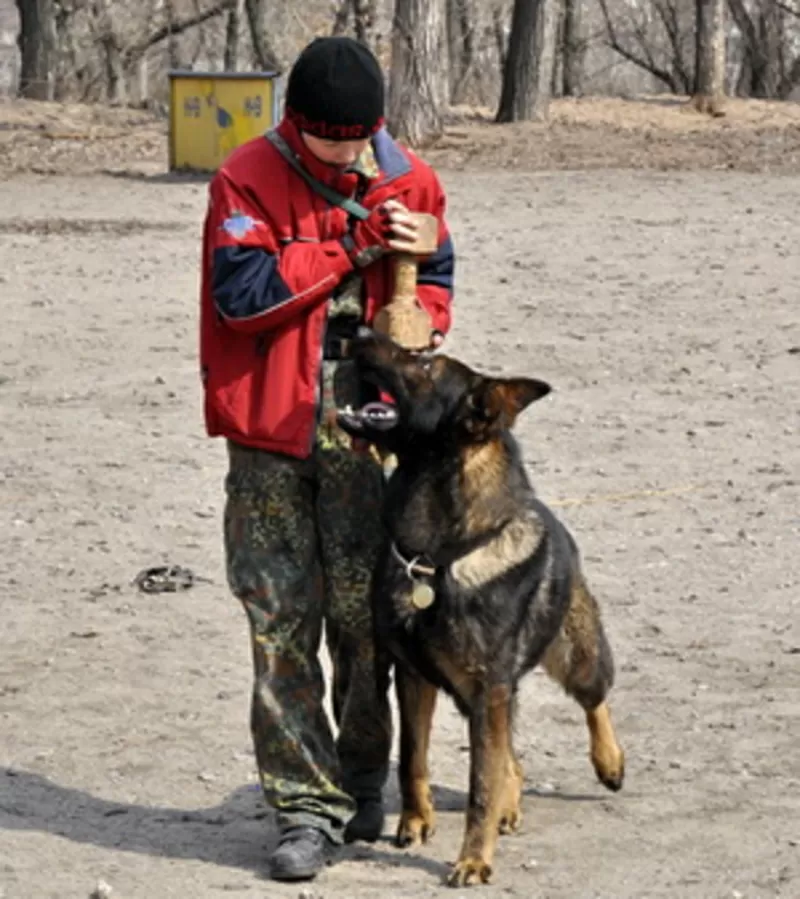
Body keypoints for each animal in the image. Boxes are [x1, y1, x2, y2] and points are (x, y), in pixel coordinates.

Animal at [338, 328, 624, 884]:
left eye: (426, 366)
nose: (359, 331)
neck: (435, 557)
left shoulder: (488, 687)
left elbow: (480, 787)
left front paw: (473, 857)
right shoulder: (415, 678)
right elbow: (414, 757)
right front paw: (416, 820)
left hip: (570, 655)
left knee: (594, 698)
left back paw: (609, 761)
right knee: (511, 757)